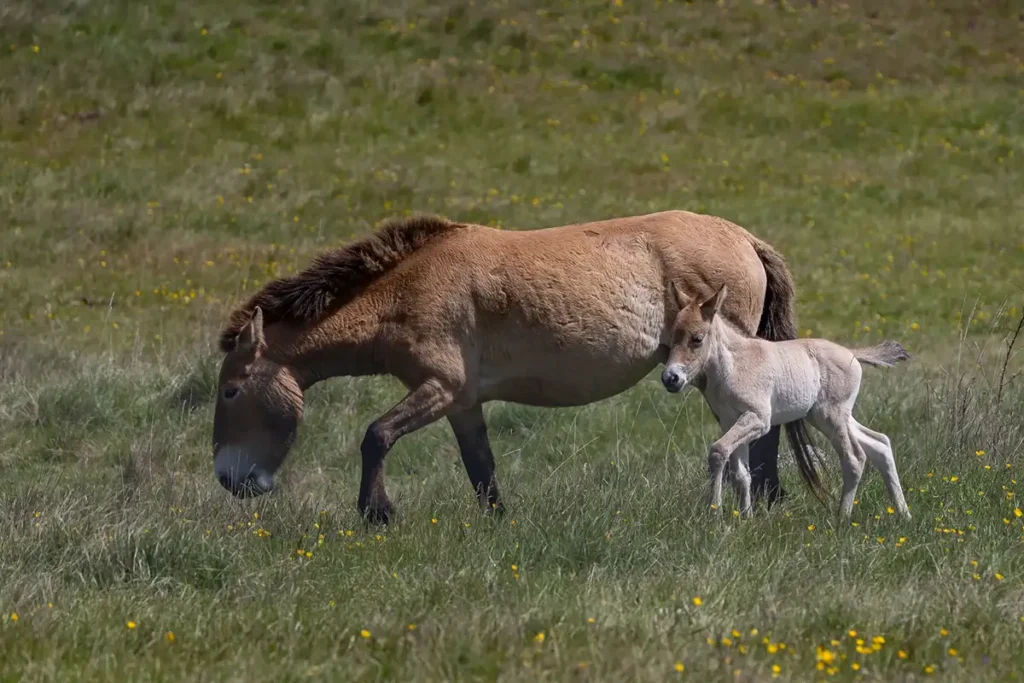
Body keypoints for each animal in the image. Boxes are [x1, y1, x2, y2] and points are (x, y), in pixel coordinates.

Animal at [212, 210, 823, 524]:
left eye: (231, 391)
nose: (231, 479)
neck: (407, 290)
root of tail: (744, 237)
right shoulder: (461, 403)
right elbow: (481, 469)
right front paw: (499, 523)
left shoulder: (439, 387)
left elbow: (376, 436)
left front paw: (376, 513)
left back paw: (769, 500)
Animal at [661, 282, 911, 519]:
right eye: (672, 337)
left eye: (697, 338)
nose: (670, 378)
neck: (733, 365)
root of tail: (852, 354)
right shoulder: (730, 421)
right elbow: (741, 473)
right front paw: (746, 518)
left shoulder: (758, 419)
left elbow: (718, 450)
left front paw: (714, 512)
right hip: (827, 417)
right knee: (880, 443)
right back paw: (903, 513)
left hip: (831, 416)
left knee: (854, 458)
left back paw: (842, 517)